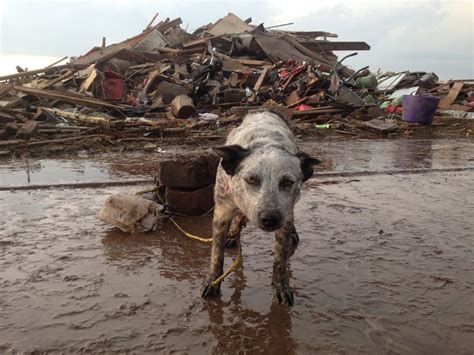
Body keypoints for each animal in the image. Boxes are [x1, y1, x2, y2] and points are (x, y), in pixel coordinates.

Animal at [202, 110, 320, 306]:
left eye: (287, 182)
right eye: (251, 179)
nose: (270, 218)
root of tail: (265, 110)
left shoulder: (284, 217)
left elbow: (280, 260)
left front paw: (281, 286)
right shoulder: (222, 212)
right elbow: (216, 253)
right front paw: (213, 280)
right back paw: (234, 235)